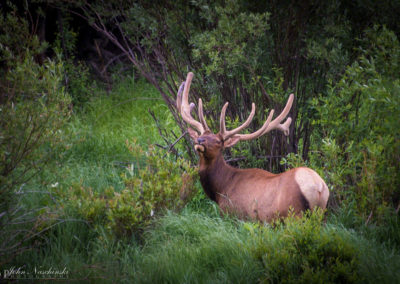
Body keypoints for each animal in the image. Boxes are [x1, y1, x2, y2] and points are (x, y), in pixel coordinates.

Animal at [177, 72, 328, 221]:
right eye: (201, 134)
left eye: (218, 141)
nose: (199, 140)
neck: (220, 189)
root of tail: (319, 187)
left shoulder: (231, 213)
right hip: (320, 213)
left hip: (294, 213)